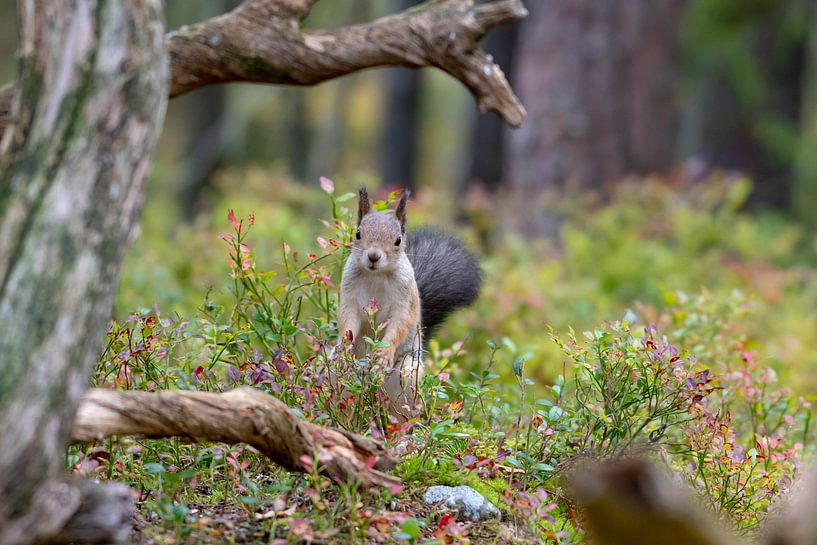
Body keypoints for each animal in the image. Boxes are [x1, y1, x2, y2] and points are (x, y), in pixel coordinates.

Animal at [336, 187, 482, 416]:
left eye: (398, 240)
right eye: (358, 233)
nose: (373, 256)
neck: (377, 275)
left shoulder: (404, 300)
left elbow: (400, 323)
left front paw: (384, 353)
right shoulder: (349, 294)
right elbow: (348, 319)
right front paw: (344, 346)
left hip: (407, 377)